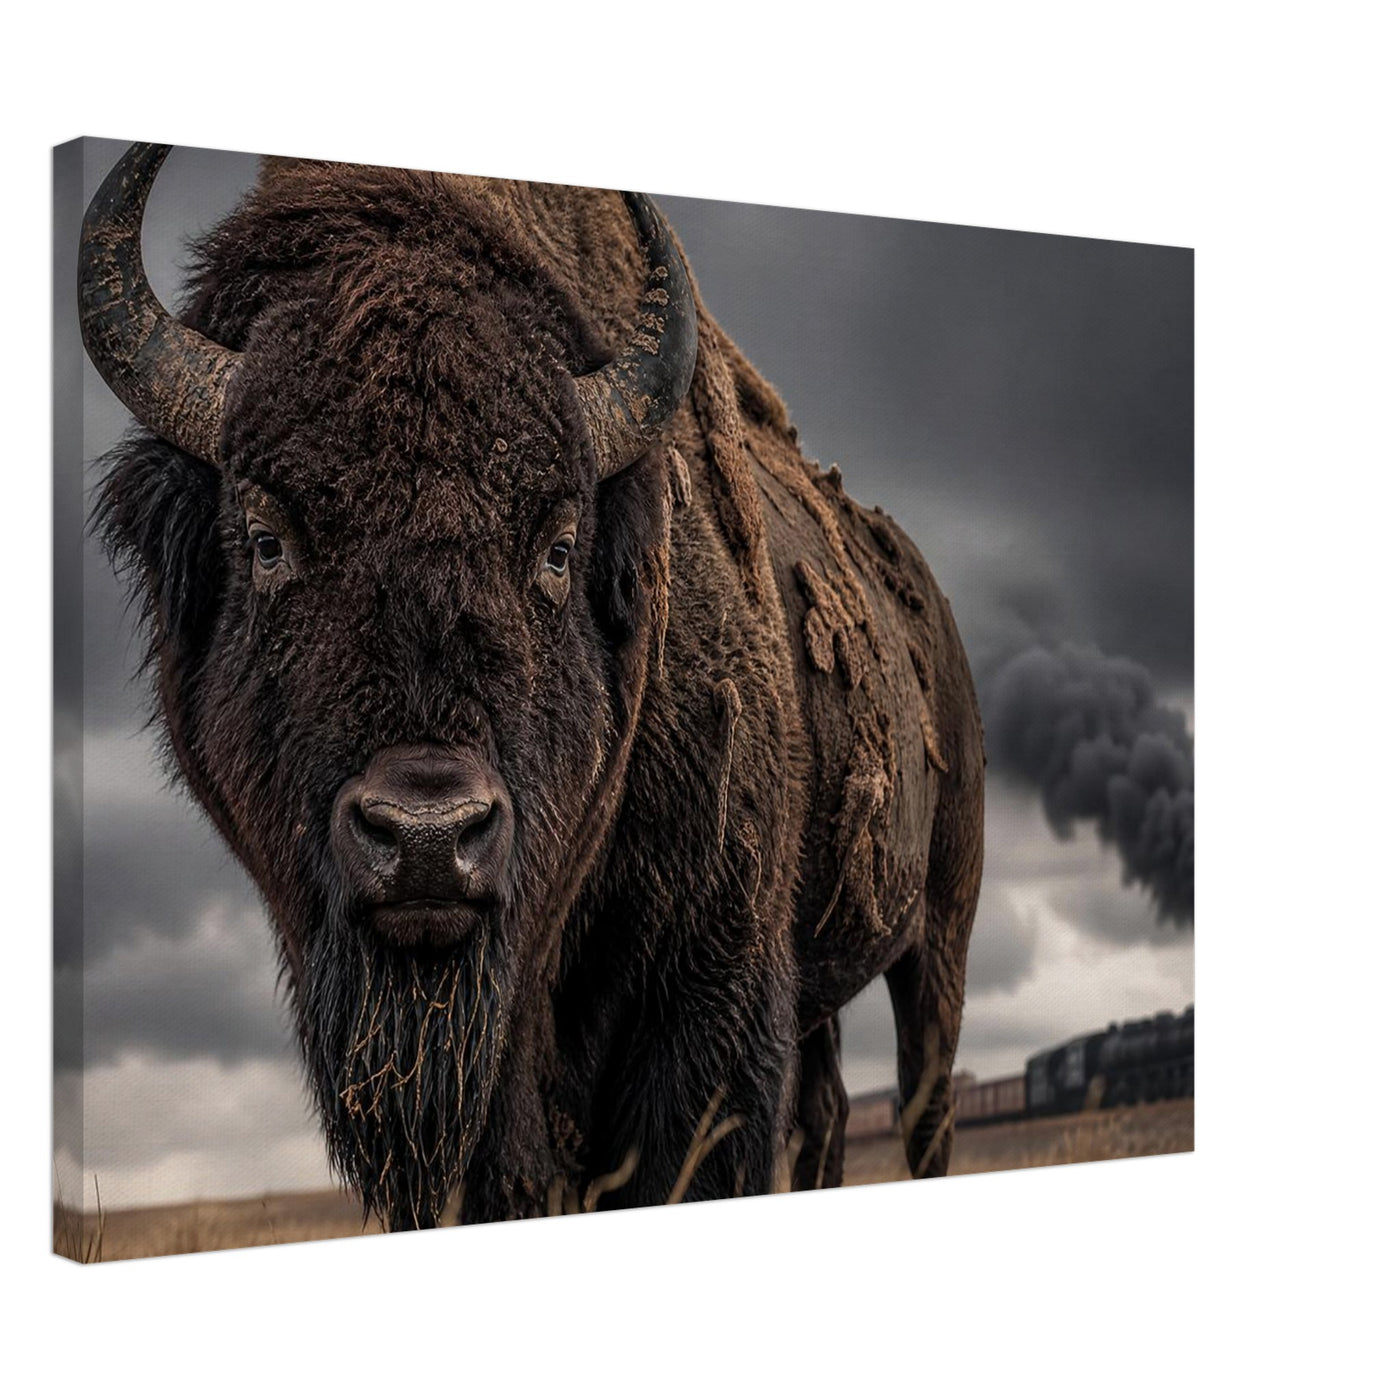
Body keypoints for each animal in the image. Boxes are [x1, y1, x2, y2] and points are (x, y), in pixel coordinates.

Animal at [80, 142, 985, 1229]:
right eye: (263, 538)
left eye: (558, 546)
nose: (428, 837)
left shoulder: (708, 999)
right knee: (830, 1110)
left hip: (940, 936)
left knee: (925, 1097)